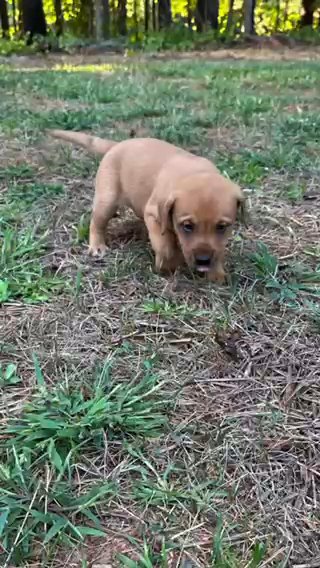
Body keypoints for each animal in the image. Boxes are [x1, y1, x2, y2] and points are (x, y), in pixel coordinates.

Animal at [48, 127, 245, 280]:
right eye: (187, 226)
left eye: (222, 227)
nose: (203, 260)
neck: (194, 173)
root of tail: (116, 145)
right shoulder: (153, 214)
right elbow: (165, 246)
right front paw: (168, 265)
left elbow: (218, 249)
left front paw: (216, 274)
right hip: (107, 200)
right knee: (97, 223)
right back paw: (97, 245)